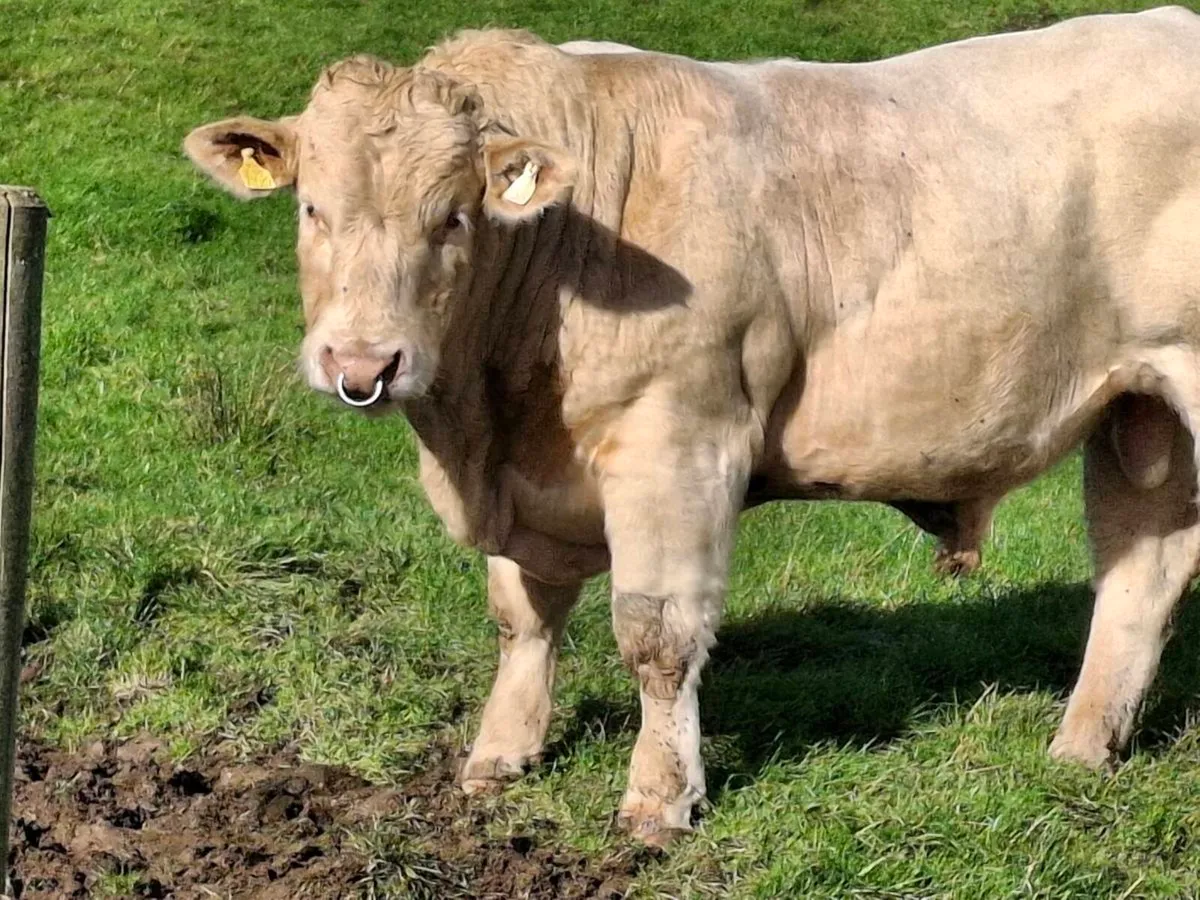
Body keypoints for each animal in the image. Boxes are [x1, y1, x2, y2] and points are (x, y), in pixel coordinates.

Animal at [185, 7, 1200, 844]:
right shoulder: (528, 482)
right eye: (311, 207)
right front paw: (497, 758)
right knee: (1139, 571)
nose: (363, 365)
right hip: (1140, 414)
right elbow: (522, 617)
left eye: (454, 218)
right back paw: (1079, 750)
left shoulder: (678, 443)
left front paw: (658, 799)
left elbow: (655, 634)